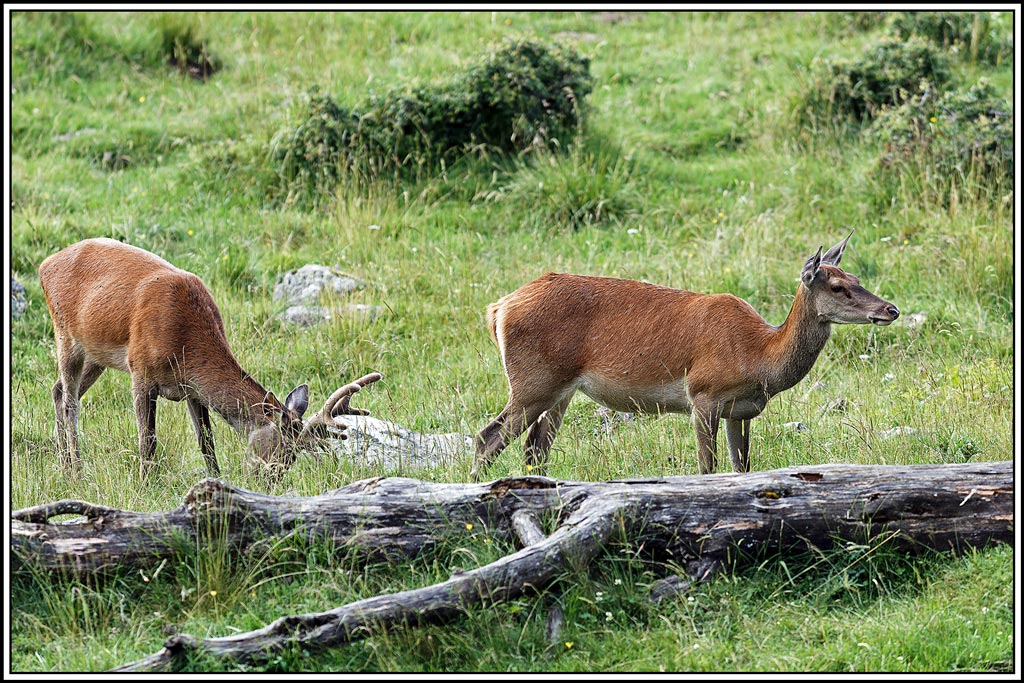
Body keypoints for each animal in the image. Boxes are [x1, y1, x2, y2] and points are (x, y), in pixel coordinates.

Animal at [38, 237, 381, 485]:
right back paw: (75, 470)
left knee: (57, 390)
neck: (185, 343)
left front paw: (216, 482)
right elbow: (148, 439)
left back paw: (64, 465)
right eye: (283, 447)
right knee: (70, 402)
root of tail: (45, 264)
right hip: (65, 335)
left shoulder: (192, 389)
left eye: (295, 455)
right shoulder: (140, 369)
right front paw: (145, 483)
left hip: (96, 355)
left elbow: (207, 442)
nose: (268, 481)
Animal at [471, 232, 899, 480]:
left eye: (857, 278)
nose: (891, 309)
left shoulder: (740, 411)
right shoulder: (703, 394)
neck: (758, 357)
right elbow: (707, 467)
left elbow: (742, 468)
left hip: (561, 390)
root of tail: (498, 308)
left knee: (534, 448)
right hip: (534, 381)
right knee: (486, 437)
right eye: (838, 287)